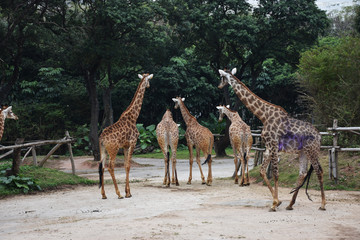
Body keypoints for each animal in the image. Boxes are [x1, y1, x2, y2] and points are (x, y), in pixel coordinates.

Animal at [217, 68, 326, 211]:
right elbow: (263, 171)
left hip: (311, 150)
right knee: (302, 173)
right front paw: (277, 201)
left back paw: (323, 204)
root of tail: (319, 135)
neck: (263, 116)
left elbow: (275, 173)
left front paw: (274, 204)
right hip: (303, 151)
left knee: (319, 171)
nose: (219, 86)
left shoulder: (273, 145)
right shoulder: (268, 146)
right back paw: (290, 204)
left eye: (221, 77)